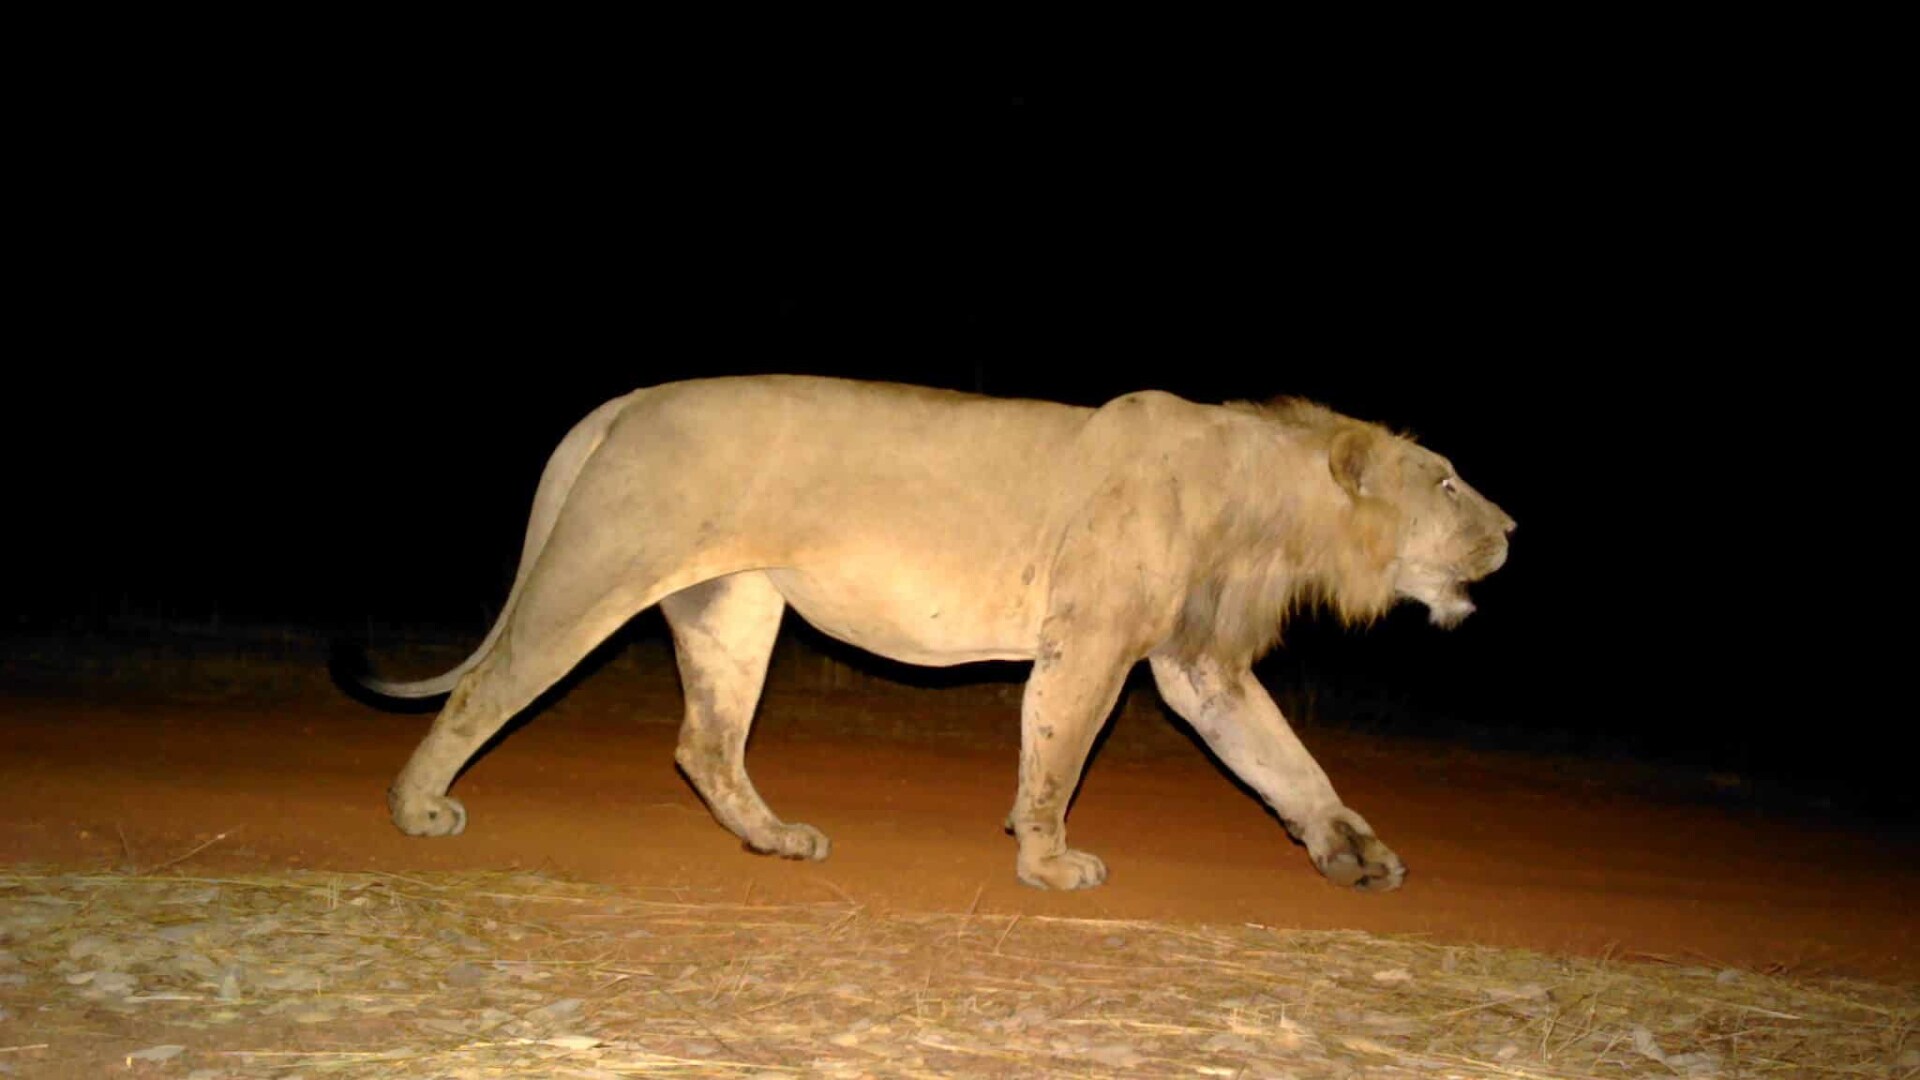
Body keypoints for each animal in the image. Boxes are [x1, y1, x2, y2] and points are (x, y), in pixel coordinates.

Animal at [362, 374, 1512, 887]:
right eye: (1449, 481)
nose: (1513, 529)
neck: (1265, 511)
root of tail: (628, 400)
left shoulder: (1197, 666)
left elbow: (1285, 760)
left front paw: (1353, 850)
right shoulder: (1095, 639)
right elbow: (1059, 752)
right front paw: (1049, 864)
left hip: (734, 605)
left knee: (707, 743)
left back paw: (776, 839)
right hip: (602, 569)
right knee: (492, 686)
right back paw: (418, 811)